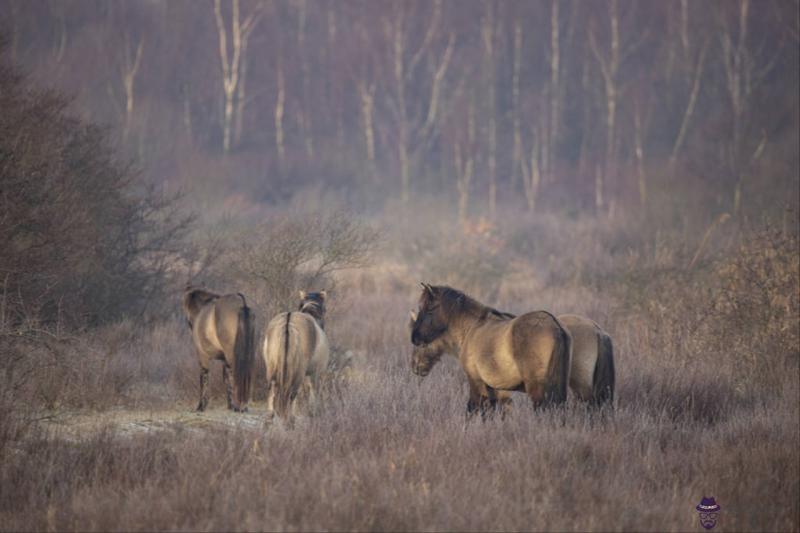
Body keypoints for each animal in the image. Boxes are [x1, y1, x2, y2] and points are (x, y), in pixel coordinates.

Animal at [182, 282, 255, 412]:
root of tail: (242, 303)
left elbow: (204, 378)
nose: (189, 323)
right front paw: (230, 405)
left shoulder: (202, 356)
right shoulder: (224, 360)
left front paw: (201, 406)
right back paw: (242, 405)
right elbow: (226, 379)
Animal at [264, 290, 330, 420]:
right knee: (292, 394)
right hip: (298, 372)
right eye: (325, 309)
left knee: (271, 390)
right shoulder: (315, 373)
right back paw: (290, 418)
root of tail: (288, 323)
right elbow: (311, 391)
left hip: (271, 368)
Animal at [410, 282, 572, 416]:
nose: (414, 338)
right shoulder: (498, 390)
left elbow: (473, 409)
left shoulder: (476, 382)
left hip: (537, 389)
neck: (472, 327)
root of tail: (555, 326)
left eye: (428, 309)